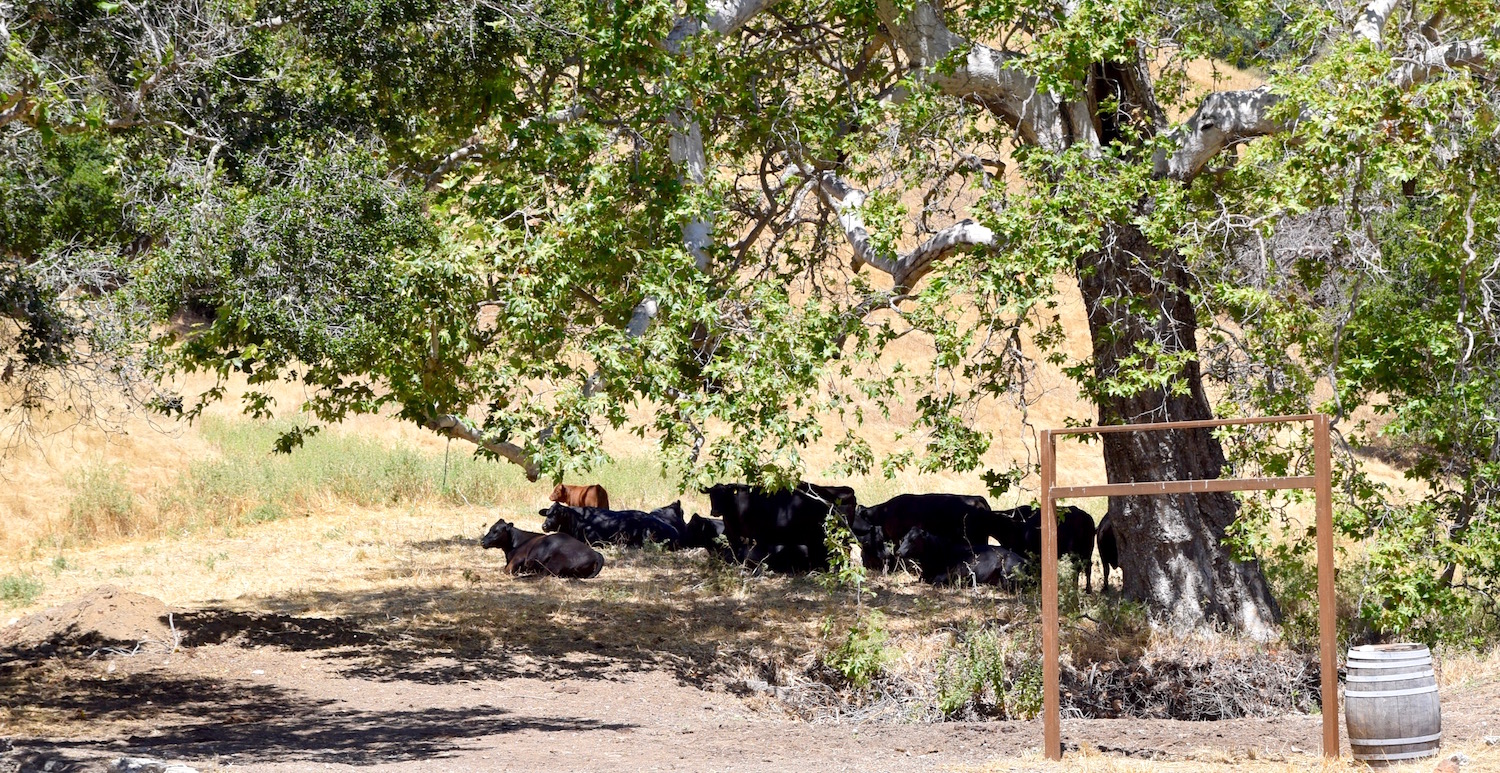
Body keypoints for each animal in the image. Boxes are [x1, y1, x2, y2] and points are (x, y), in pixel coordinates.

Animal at [702, 483, 858, 573]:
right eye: (711, 495)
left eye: (725, 494)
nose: (715, 511)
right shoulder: (736, 534)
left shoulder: (756, 535)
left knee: (841, 550)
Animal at [894, 528, 1026, 591]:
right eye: (904, 538)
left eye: (913, 540)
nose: (898, 552)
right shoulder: (923, 576)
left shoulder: (950, 574)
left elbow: (936, 582)